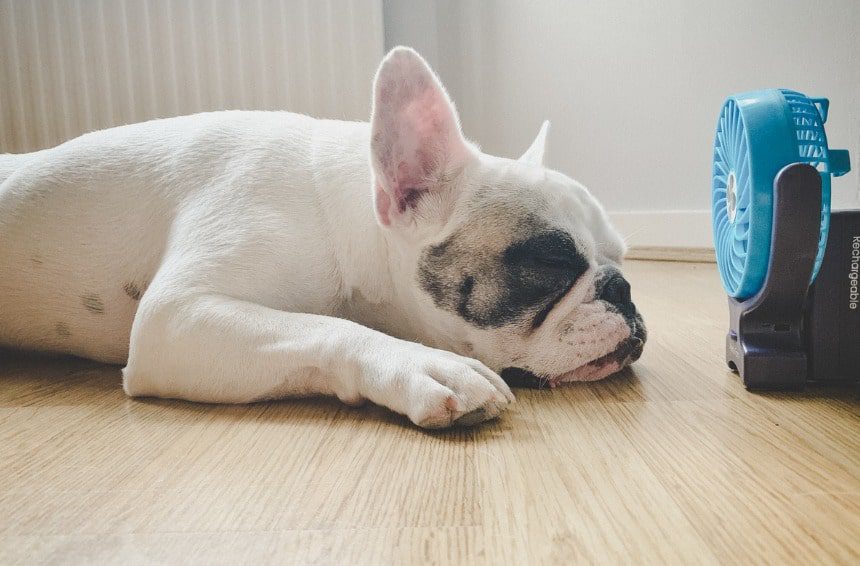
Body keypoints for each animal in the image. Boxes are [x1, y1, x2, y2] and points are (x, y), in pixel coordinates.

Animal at [0, 48, 644, 428]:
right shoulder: (175, 317)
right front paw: (424, 362)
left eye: (621, 255)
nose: (624, 289)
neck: (342, 218)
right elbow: (326, 327)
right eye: (551, 262)